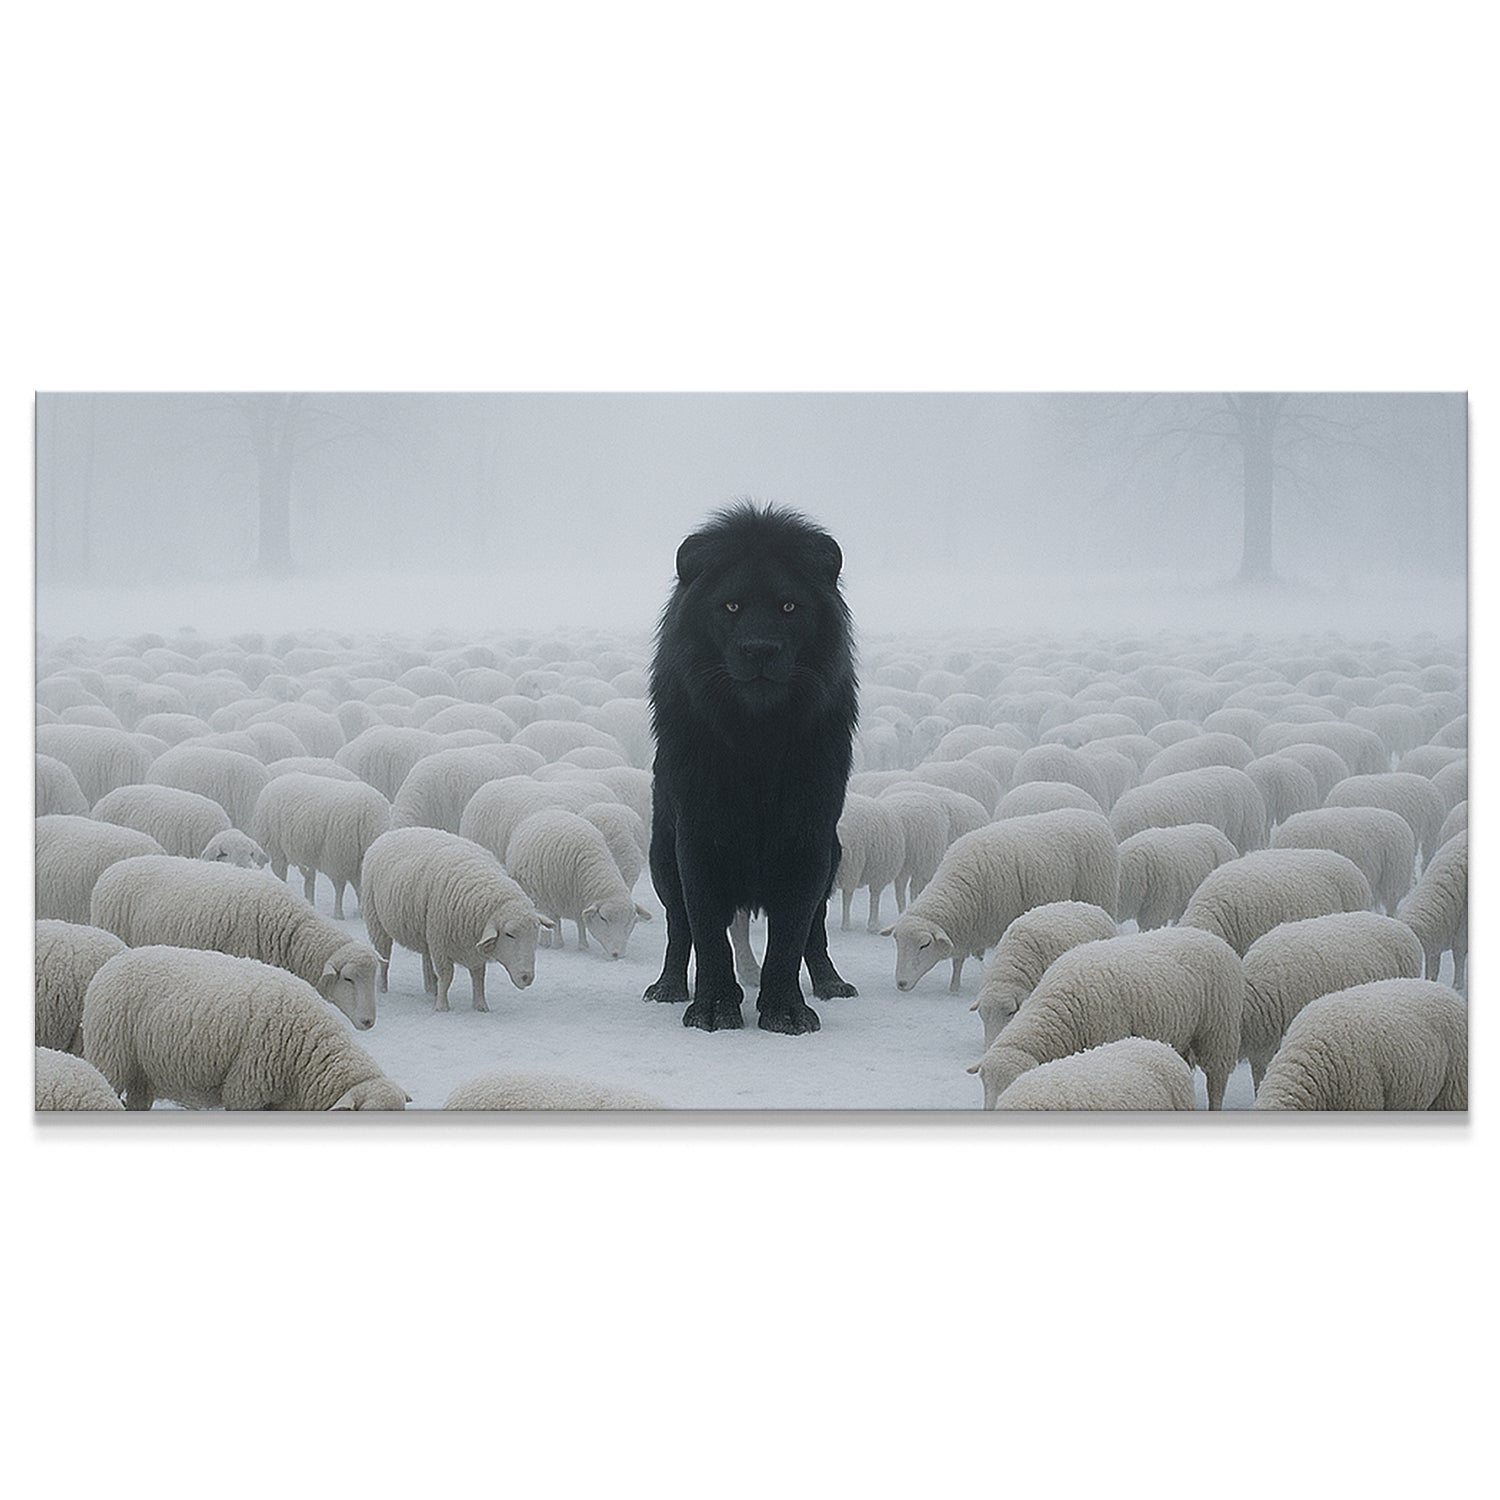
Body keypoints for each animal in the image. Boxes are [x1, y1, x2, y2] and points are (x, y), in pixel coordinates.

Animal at [253, 772, 391, 918]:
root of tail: (274, 782)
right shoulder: (339, 861)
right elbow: (340, 888)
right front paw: (339, 914)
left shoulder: (354, 864)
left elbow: (358, 889)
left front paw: (360, 911)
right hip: (278, 847)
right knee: (281, 872)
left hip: (307, 851)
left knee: (308, 878)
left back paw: (310, 901)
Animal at [360, 826, 553, 1010]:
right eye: (509, 934)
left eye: (535, 934)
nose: (527, 977)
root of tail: (394, 832)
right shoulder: (440, 942)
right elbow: (447, 975)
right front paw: (442, 1007)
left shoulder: (472, 946)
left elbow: (478, 977)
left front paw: (480, 1006)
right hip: (377, 921)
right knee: (385, 958)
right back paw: (383, 988)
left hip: (426, 930)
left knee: (427, 960)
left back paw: (431, 990)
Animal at [505, 809, 652, 958]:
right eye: (603, 918)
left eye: (631, 922)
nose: (617, 955)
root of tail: (550, 810)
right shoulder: (551, 900)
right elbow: (556, 923)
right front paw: (557, 944)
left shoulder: (580, 901)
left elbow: (581, 924)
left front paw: (583, 946)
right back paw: (545, 942)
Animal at [884, 809, 1120, 993]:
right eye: (897, 942)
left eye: (924, 944)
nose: (901, 983)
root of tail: (1093, 816)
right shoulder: (966, 929)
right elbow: (958, 962)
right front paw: (954, 988)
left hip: (1098, 894)